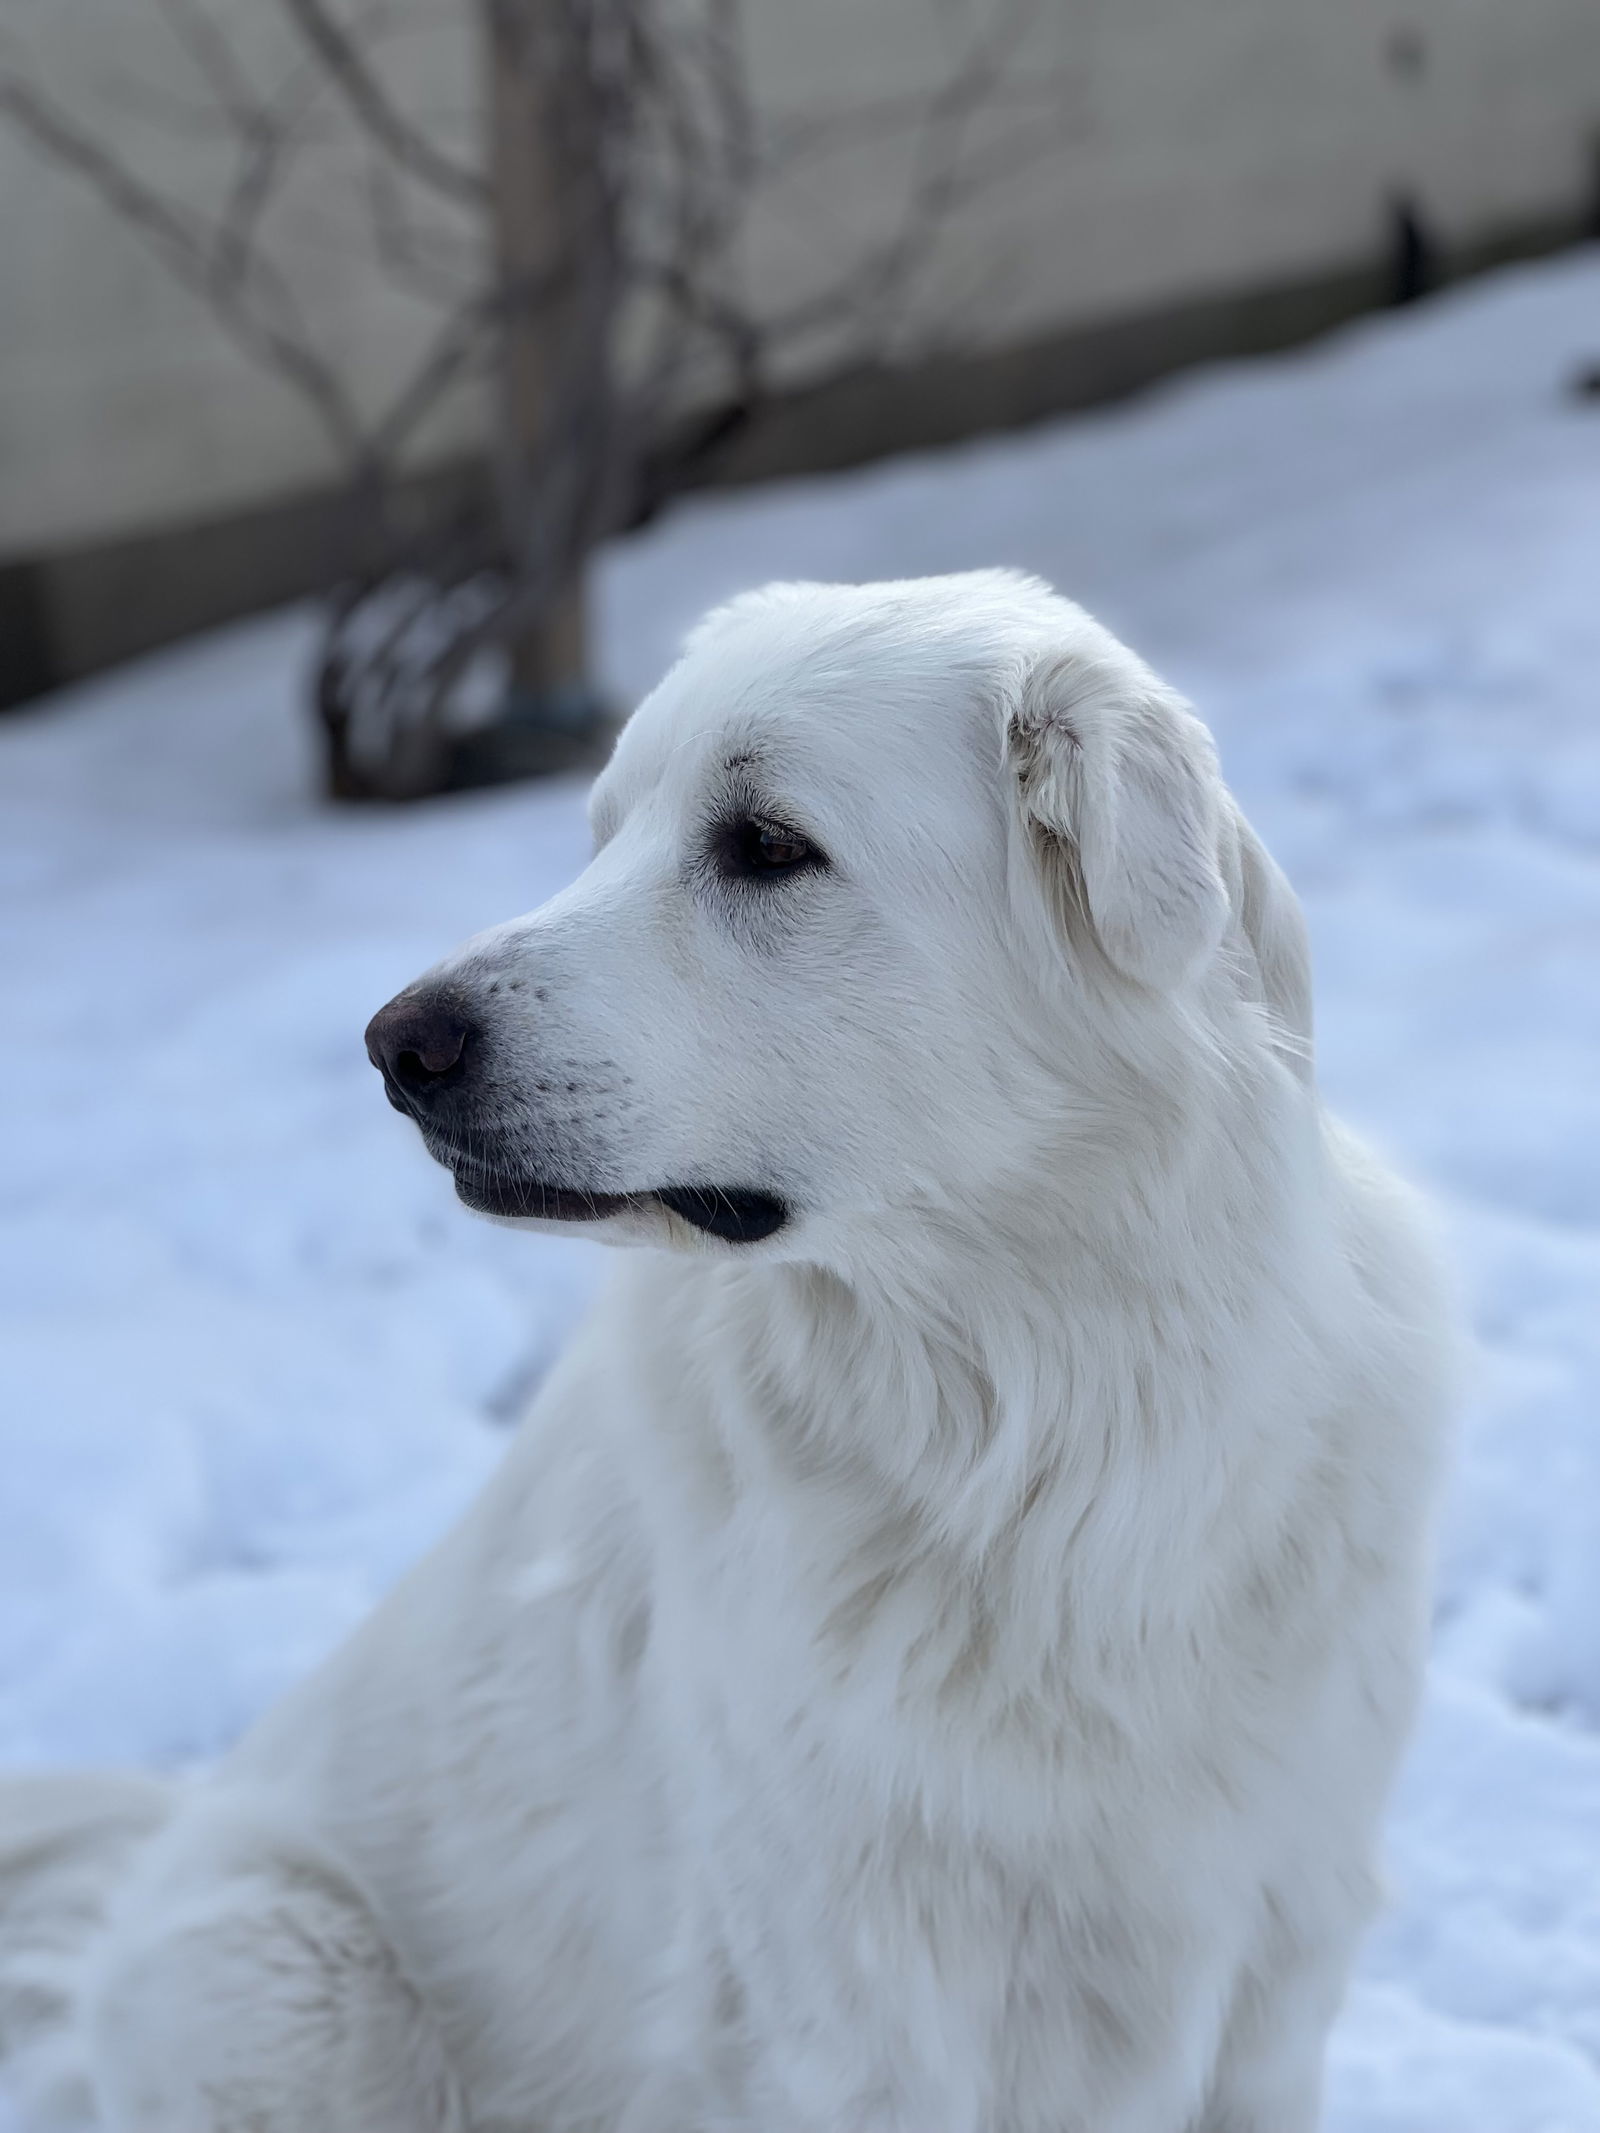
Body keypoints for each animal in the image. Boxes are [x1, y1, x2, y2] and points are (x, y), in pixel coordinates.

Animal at [0, 571, 1450, 2133]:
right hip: (294, 1988)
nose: (397, 1047)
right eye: (605, 830)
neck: (1050, 1425)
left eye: (764, 846)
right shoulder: (855, 2011)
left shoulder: (1271, 1973)